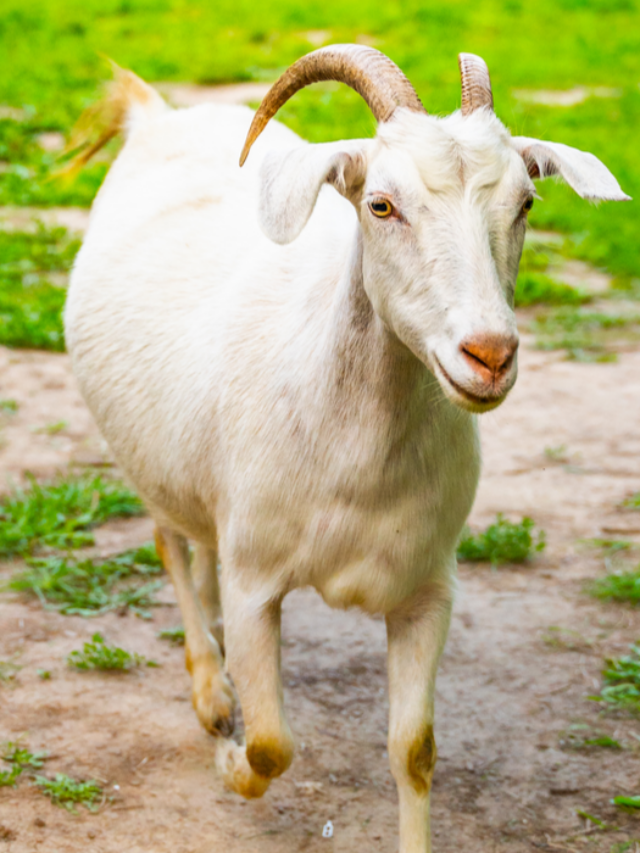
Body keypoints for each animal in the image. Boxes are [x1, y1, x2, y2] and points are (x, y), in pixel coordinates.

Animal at [65, 46, 628, 852]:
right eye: (381, 205)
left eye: (526, 202)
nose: (488, 355)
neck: (353, 463)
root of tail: (155, 114)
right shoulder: (258, 580)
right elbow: (273, 745)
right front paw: (231, 757)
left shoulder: (428, 589)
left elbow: (413, 750)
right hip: (148, 455)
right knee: (170, 541)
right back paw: (212, 693)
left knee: (199, 545)